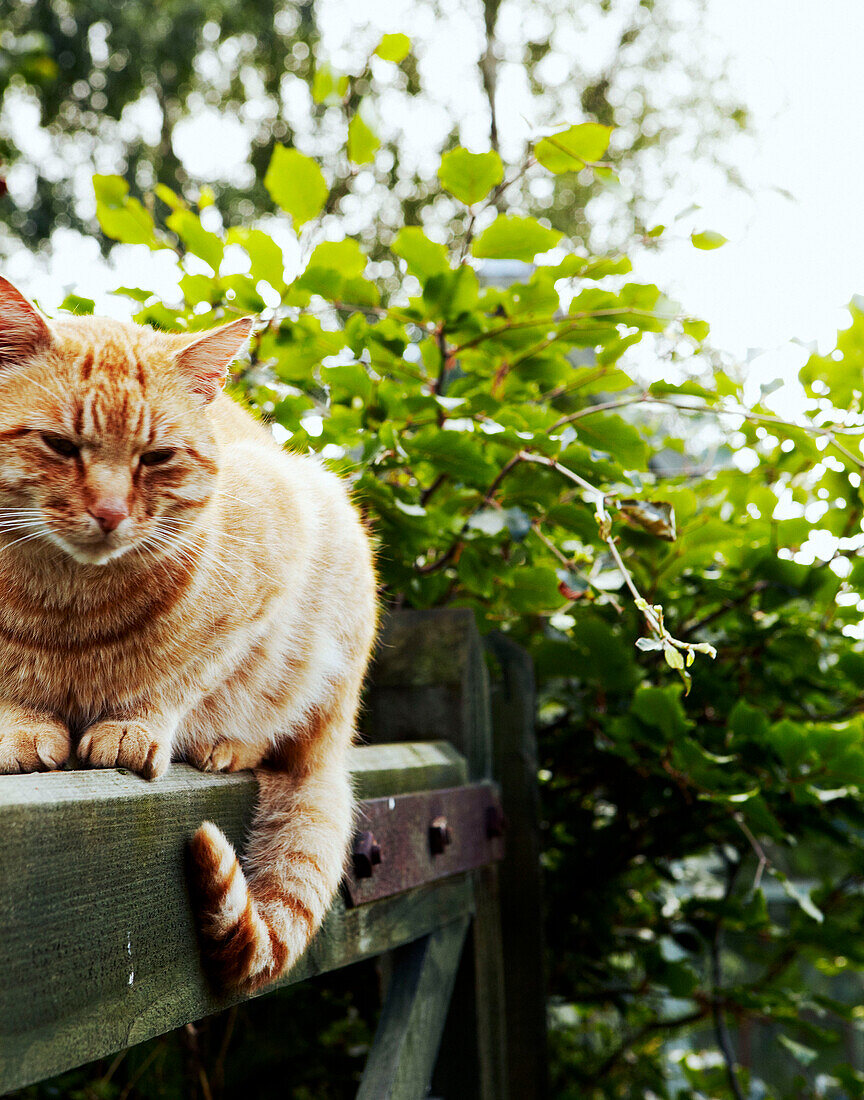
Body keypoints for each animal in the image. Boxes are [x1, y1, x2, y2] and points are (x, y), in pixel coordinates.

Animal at [0, 272, 374, 990]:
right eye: (60, 445)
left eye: (157, 458)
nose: (110, 513)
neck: (65, 606)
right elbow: (14, 689)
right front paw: (22, 726)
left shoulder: (255, 590)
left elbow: (175, 679)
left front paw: (131, 728)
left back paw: (228, 746)